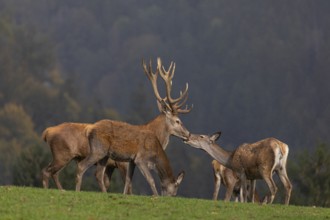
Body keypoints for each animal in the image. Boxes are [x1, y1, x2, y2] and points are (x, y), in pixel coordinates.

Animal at [75, 57, 192, 193]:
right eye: (178, 120)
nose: (188, 134)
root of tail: (89, 130)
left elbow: (127, 183)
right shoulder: (123, 163)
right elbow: (130, 185)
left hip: (103, 157)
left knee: (98, 175)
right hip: (98, 151)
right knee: (81, 167)